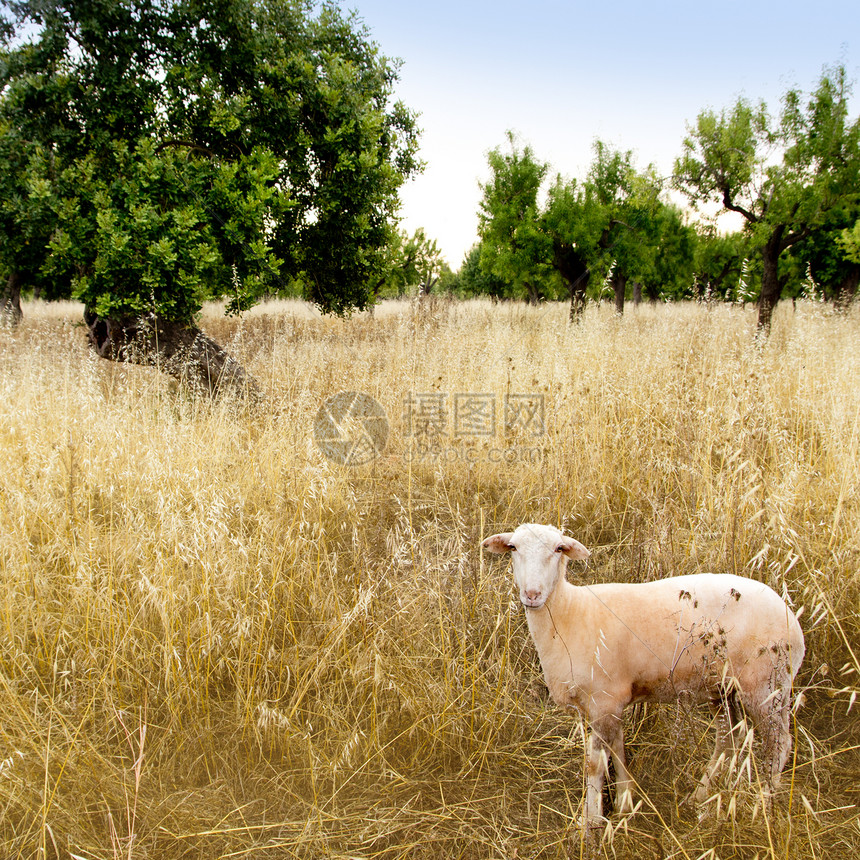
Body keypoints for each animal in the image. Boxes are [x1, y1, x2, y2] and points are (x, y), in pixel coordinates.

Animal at [484, 524, 808, 832]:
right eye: (513, 547)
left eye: (559, 549)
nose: (532, 595)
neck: (569, 613)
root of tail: (791, 617)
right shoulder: (610, 703)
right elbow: (618, 749)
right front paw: (625, 804)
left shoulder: (604, 700)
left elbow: (594, 764)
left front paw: (590, 824)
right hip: (722, 687)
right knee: (729, 738)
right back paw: (701, 797)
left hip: (767, 686)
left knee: (779, 744)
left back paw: (763, 804)